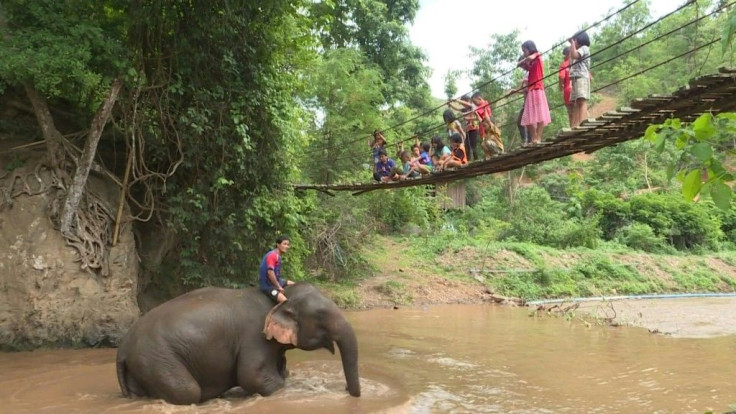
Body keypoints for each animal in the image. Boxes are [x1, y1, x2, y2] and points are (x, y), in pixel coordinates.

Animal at [116, 282, 360, 404]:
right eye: (321, 315)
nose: (346, 388)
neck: (280, 298)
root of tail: (122, 348)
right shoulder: (255, 337)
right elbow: (252, 377)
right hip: (156, 359)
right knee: (188, 392)